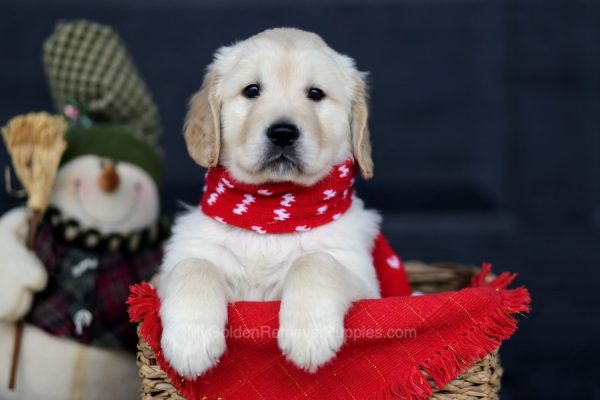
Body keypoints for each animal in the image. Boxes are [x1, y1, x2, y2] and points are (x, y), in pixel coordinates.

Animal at [159, 28, 382, 378]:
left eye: (315, 94)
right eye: (252, 90)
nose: (283, 133)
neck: (269, 211)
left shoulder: (364, 281)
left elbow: (315, 261)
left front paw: (309, 334)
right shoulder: (168, 271)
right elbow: (194, 265)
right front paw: (190, 340)